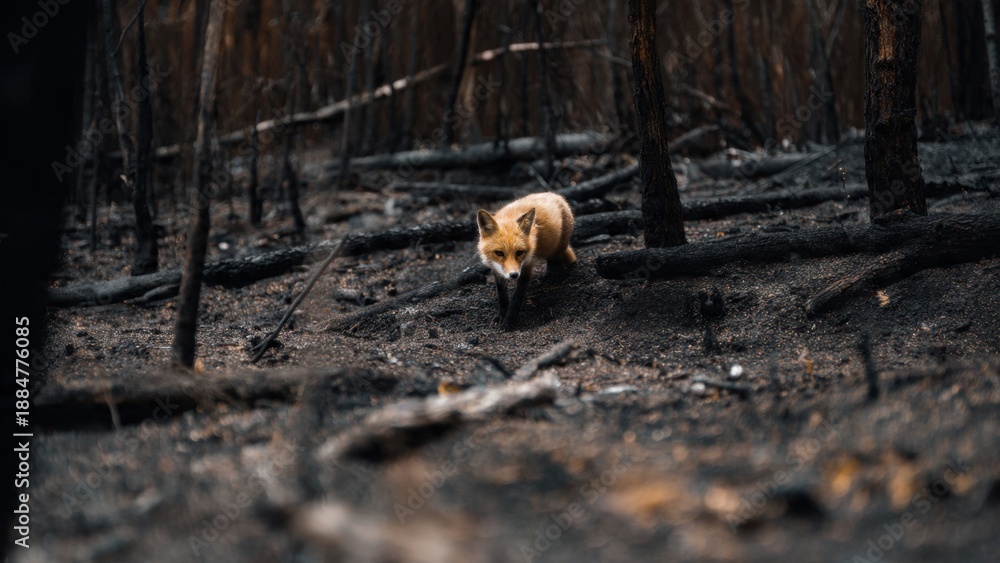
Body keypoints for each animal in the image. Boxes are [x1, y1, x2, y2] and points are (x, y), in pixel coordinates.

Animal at [477, 192, 576, 330]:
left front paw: (509, 322)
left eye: (519, 252)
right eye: (499, 253)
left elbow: (516, 298)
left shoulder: (526, 268)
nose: (514, 275)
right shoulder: (496, 269)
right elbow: (502, 296)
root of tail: (555, 195)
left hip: (556, 246)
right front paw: (500, 316)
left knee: (556, 260)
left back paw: (554, 276)